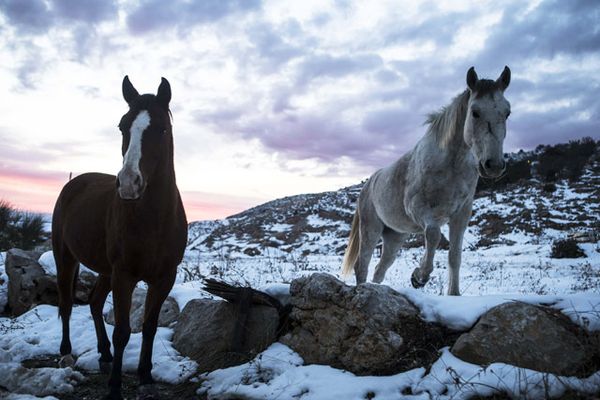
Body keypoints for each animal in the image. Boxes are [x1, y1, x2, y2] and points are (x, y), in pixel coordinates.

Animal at [52, 76, 188, 400]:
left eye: (162, 128)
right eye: (122, 126)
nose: (128, 184)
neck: (154, 220)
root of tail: (74, 183)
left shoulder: (164, 277)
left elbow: (149, 326)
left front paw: (146, 375)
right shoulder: (124, 275)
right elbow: (123, 331)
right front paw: (114, 388)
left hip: (105, 271)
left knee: (93, 302)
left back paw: (104, 355)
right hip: (66, 257)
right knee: (66, 303)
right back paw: (66, 353)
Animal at [342, 67, 510, 296]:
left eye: (507, 112)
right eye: (475, 112)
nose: (493, 165)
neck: (450, 165)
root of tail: (368, 185)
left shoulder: (461, 216)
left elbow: (455, 256)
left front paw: (454, 294)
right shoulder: (421, 212)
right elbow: (433, 236)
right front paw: (418, 277)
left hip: (395, 237)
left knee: (380, 269)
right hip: (371, 229)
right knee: (362, 265)